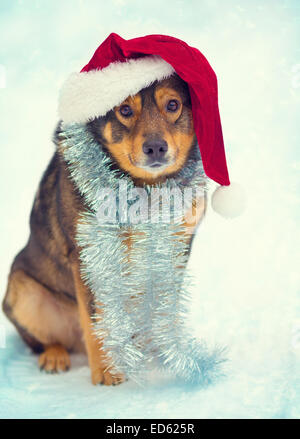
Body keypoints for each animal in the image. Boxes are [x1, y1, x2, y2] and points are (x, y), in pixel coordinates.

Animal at [1, 74, 206, 386]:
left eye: (173, 105)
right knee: (45, 341)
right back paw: (55, 356)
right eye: (124, 110)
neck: (146, 190)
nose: (156, 147)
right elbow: (98, 320)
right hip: (22, 290)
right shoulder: (90, 255)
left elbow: (167, 307)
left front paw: (171, 353)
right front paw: (108, 372)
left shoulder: (177, 247)